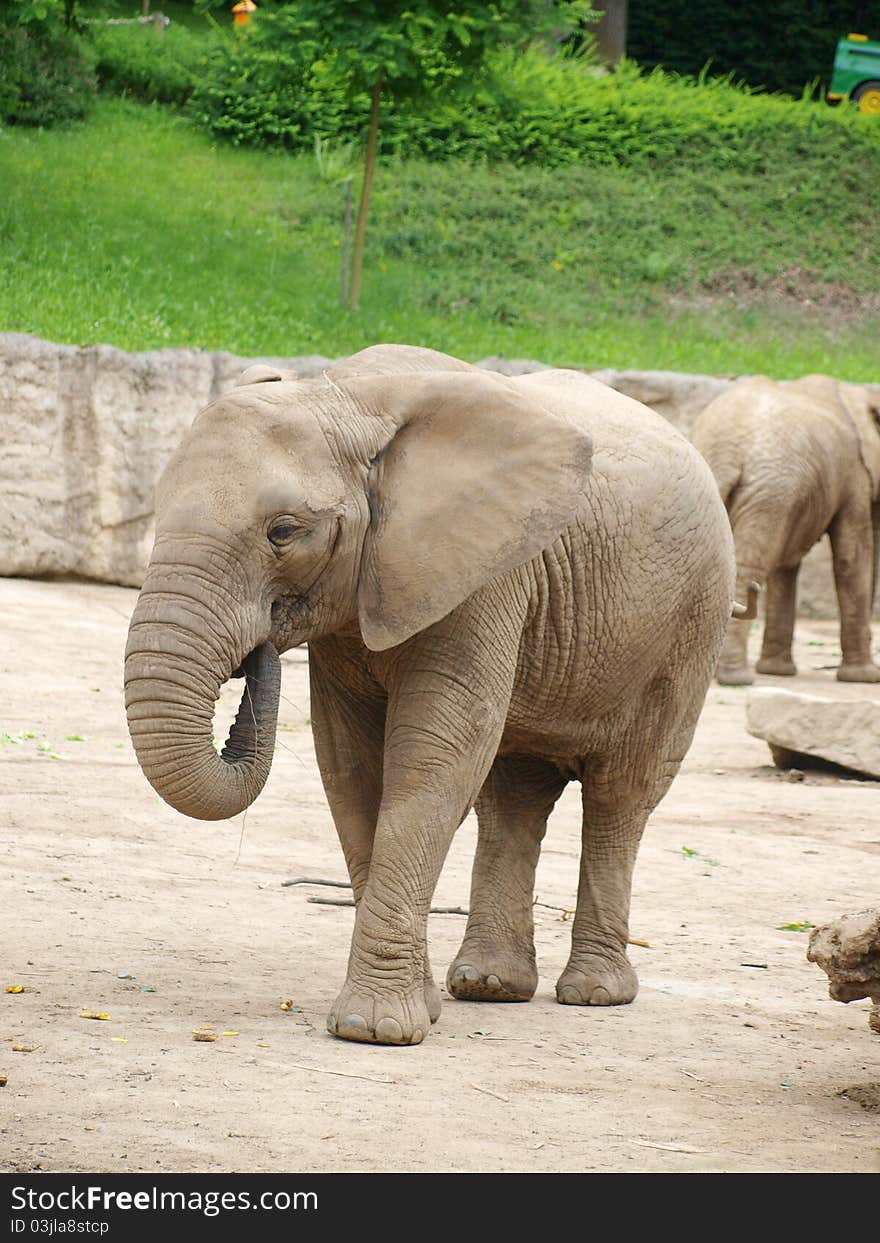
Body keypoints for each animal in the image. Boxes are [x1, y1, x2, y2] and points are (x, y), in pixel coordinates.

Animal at [121, 345, 735, 1044]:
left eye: (283, 531)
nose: (259, 650)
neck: (342, 395)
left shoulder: (483, 574)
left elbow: (434, 754)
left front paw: (374, 1030)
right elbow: (352, 763)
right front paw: (417, 1010)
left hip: (690, 626)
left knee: (621, 794)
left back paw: (594, 995)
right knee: (513, 794)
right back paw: (490, 986)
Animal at [691, 375, 875, 691]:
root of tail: (725, 452)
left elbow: (786, 565)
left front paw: (777, 671)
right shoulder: (855, 472)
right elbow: (852, 557)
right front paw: (866, 678)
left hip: (768, 492)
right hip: (771, 490)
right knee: (751, 567)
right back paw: (736, 679)